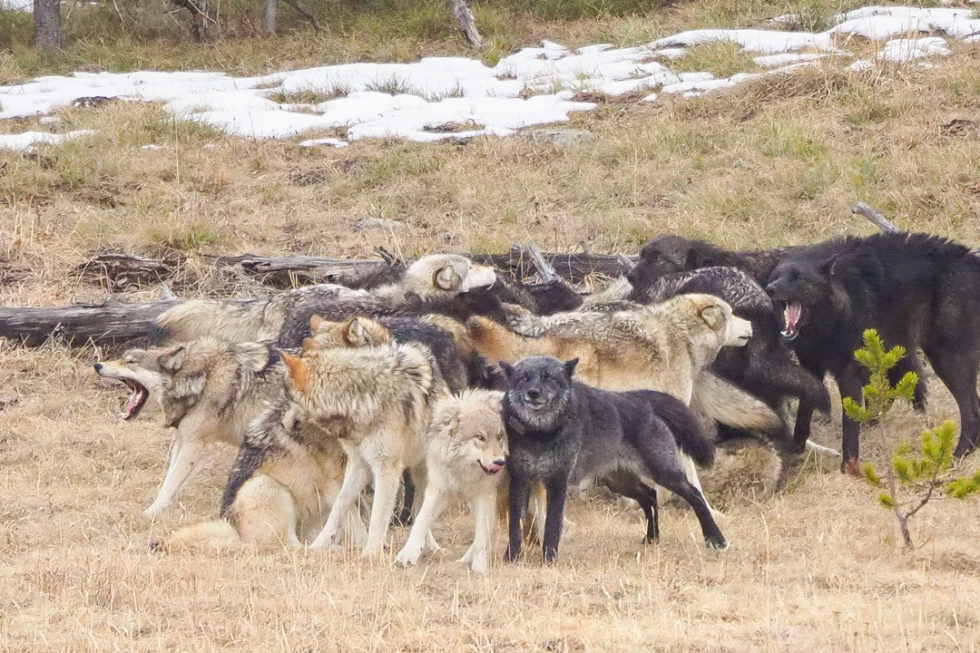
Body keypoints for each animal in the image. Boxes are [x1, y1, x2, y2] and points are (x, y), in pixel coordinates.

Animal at [282, 342, 446, 556]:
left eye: (287, 400)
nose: (283, 424)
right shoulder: (358, 464)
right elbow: (339, 506)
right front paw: (318, 545)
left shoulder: (386, 470)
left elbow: (377, 517)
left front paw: (370, 554)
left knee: (424, 508)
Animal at [502, 354, 724, 564]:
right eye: (524, 378)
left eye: (549, 378)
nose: (533, 393)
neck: (539, 435)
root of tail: (641, 399)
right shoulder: (520, 481)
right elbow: (515, 525)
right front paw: (511, 558)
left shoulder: (557, 483)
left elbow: (552, 526)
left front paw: (548, 560)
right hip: (620, 483)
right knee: (650, 495)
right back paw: (652, 538)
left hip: (664, 474)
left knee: (694, 494)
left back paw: (715, 539)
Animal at [764, 232, 980, 466]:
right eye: (775, 276)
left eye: (798, 277)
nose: (770, 289)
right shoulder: (812, 366)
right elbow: (804, 413)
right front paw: (795, 449)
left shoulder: (847, 373)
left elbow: (849, 425)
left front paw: (848, 467)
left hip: (946, 360)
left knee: (971, 415)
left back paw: (953, 459)